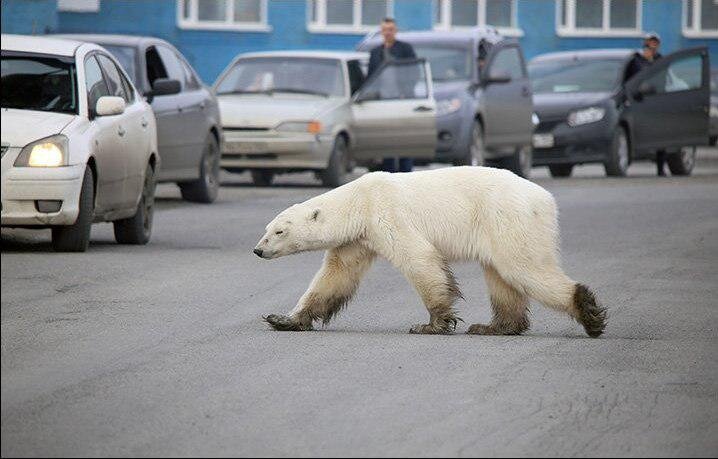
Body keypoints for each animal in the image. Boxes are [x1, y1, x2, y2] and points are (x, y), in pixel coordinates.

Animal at [253, 168, 608, 338]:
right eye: (267, 228)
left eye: (279, 231)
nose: (257, 250)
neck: (359, 201)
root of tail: (545, 198)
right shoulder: (357, 239)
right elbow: (335, 276)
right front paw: (283, 319)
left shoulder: (386, 213)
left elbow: (419, 258)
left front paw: (433, 324)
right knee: (501, 276)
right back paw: (494, 326)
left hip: (507, 217)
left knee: (523, 267)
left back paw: (589, 312)